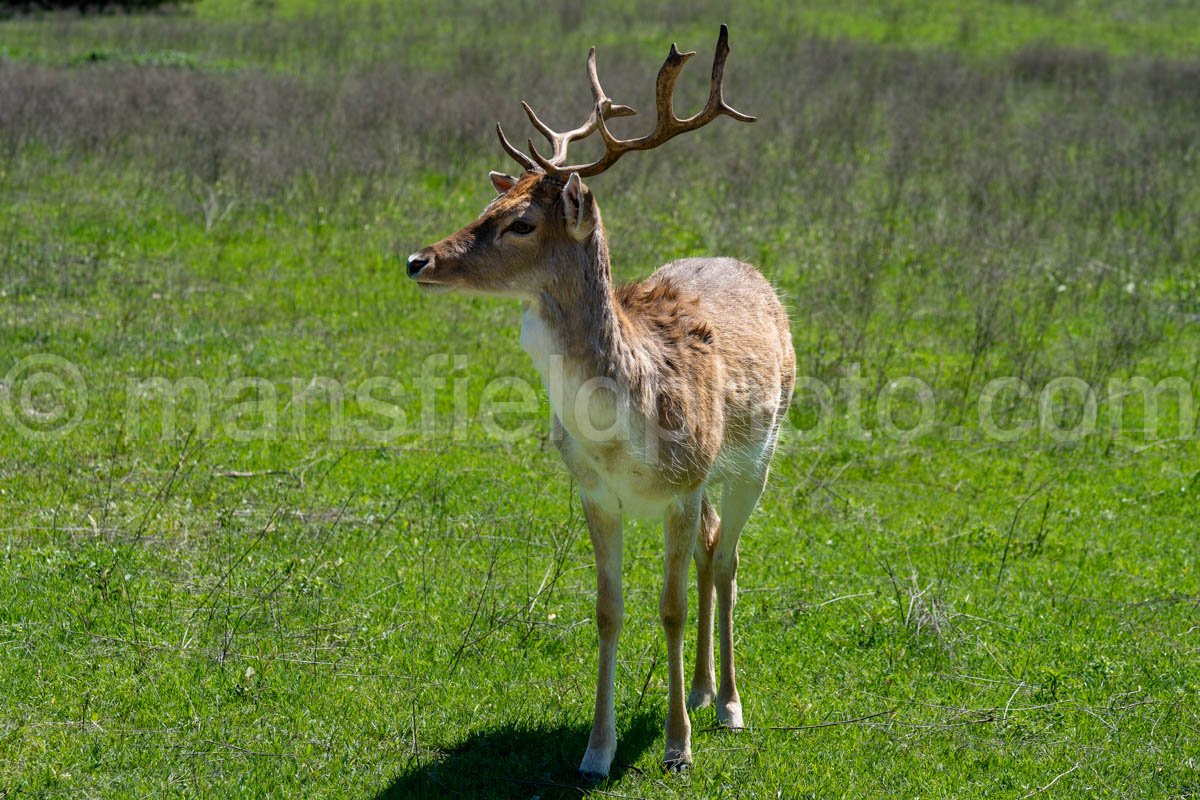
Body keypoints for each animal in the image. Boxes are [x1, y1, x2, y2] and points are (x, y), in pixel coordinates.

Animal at [408, 28, 792, 777]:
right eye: (487, 207)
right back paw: (702, 689)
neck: (623, 434)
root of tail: (749, 269)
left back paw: (728, 704)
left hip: (754, 457)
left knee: (726, 561)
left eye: (522, 223)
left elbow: (670, 607)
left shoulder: (681, 484)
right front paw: (595, 750)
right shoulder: (591, 489)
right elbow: (607, 611)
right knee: (711, 549)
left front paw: (676, 748)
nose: (418, 260)